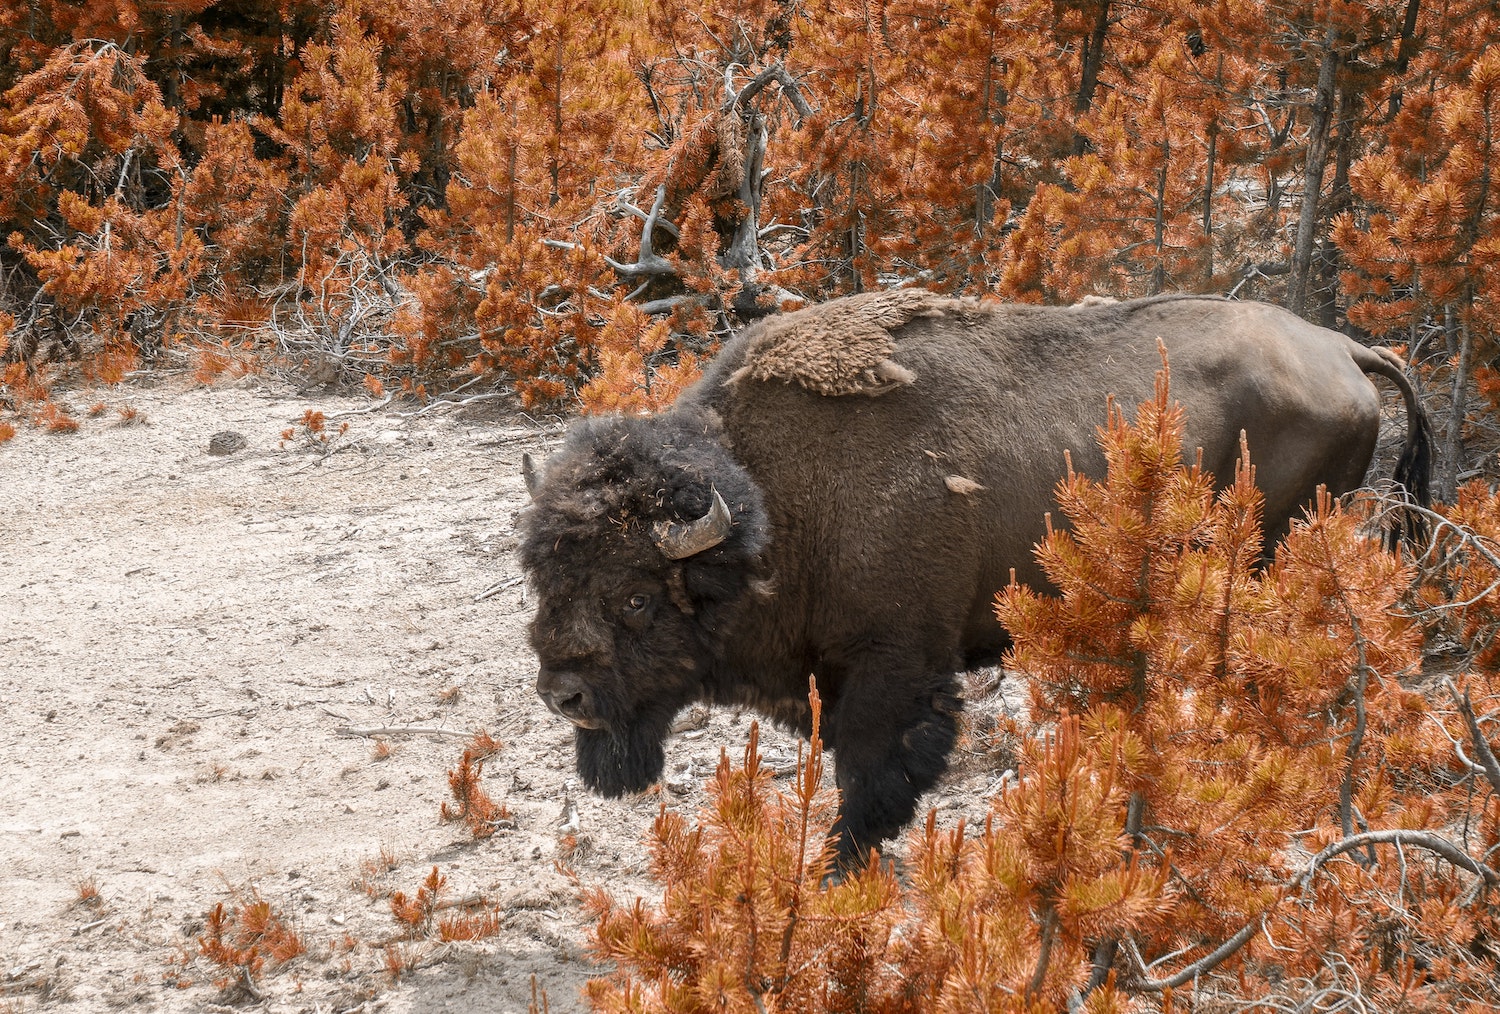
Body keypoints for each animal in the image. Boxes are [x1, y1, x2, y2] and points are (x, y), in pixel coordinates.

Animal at [522, 289, 1434, 870]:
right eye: (542, 577)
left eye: (636, 597)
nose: (562, 694)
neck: (773, 508)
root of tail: (1342, 347)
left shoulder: (896, 667)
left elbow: (872, 777)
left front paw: (839, 869)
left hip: (1271, 551)